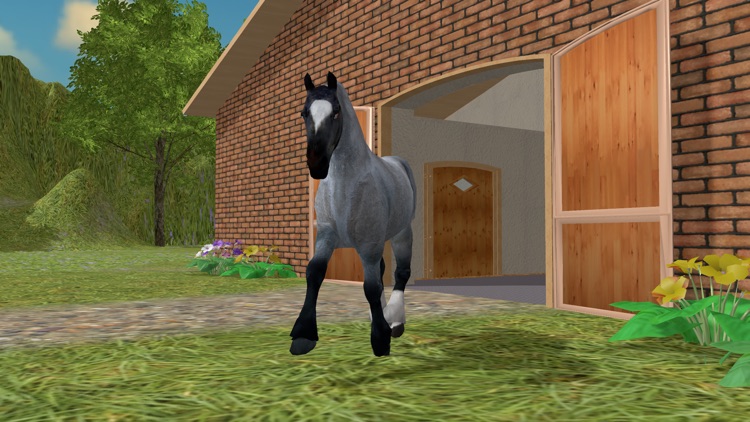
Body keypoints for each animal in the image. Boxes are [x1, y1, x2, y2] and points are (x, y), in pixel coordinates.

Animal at [289, 72, 417, 357]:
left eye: (336, 111)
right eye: (304, 113)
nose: (316, 164)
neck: (345, 185)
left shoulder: (369, 242)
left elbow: (371, 286)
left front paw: (380, 338)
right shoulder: (326, 235)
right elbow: (314, 273)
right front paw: (303, 334)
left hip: (402, 233)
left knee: (400, 273)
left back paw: (395, 321)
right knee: (381, 271)